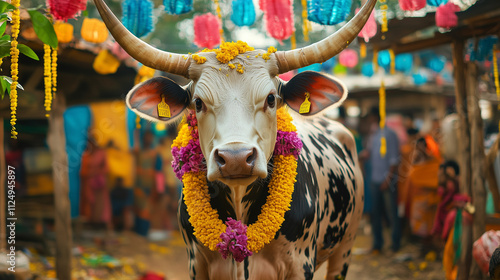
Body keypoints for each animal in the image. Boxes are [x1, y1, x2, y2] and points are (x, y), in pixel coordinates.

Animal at [94, 1, 376, 278]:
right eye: (198, 102)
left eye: (271, 99)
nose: (235, 158)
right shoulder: (196, 263)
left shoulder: (300, 264)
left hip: (345, 248)